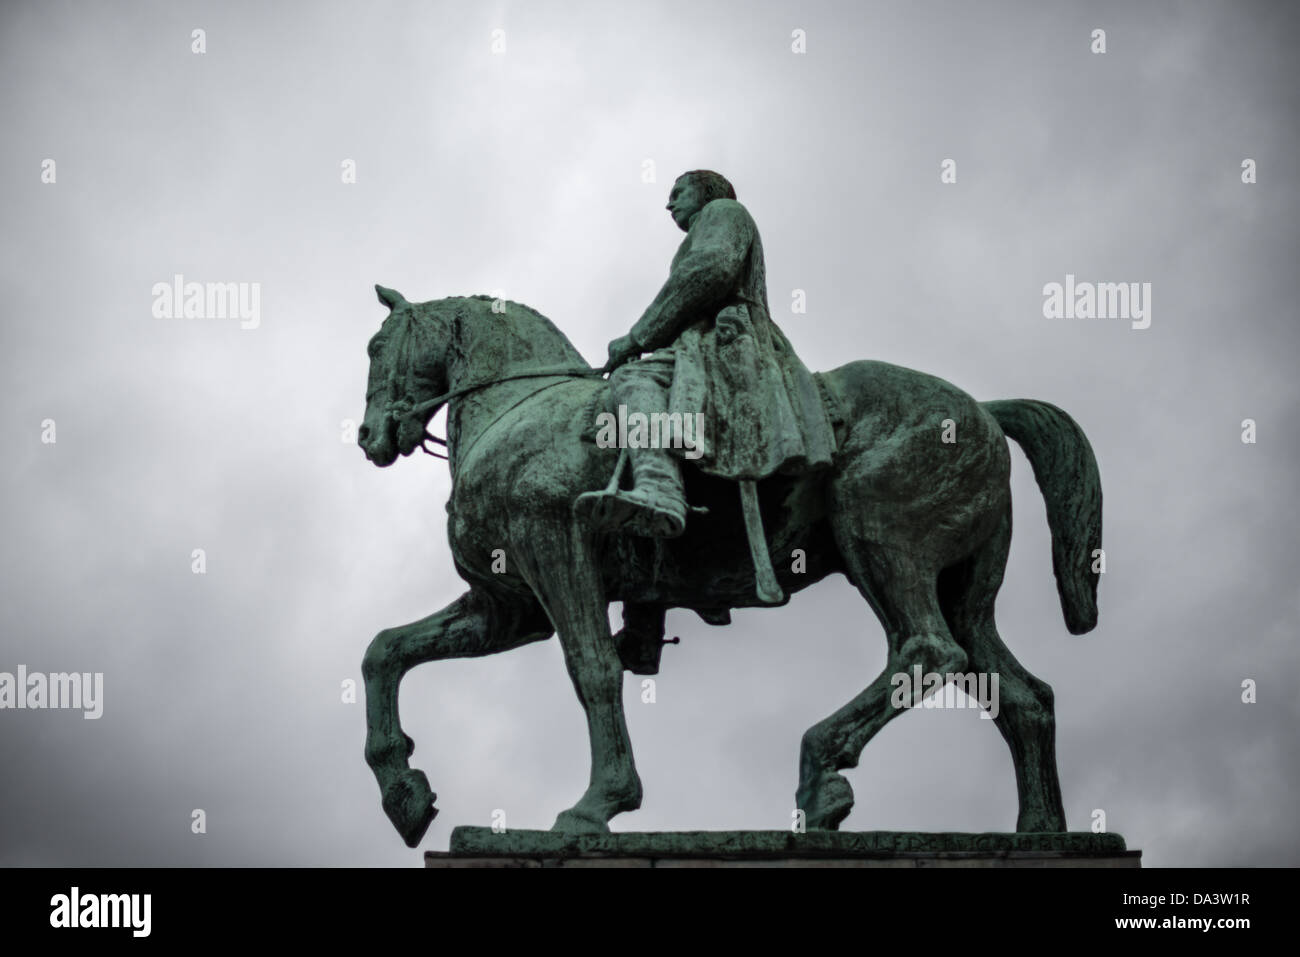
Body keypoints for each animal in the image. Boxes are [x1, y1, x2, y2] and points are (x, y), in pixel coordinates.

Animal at [361, 282, 1102, 842]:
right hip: (962, 588)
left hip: (885, 545)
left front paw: (599, 804)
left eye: (374, 347)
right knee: (1021, 695)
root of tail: (983, 411)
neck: (520, 406)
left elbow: (593, 670)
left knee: (928, 649)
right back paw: (1040, 831)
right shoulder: (508, 605)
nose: (369, 436)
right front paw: (403, 790)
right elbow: (385, 652)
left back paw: (821, 770)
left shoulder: (554, 551)